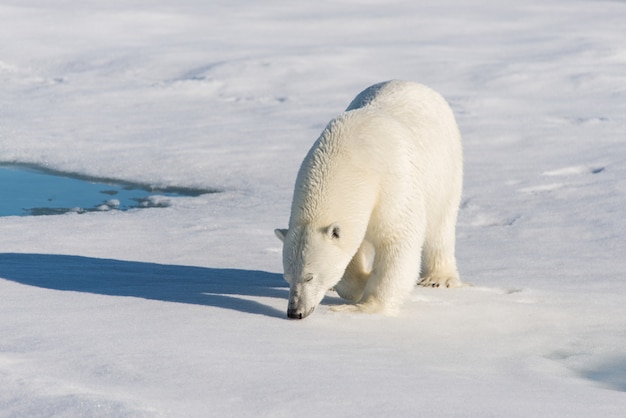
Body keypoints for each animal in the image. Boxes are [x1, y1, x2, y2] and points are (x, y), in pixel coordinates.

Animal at [276, 80, 460, 318]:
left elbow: (397, 240)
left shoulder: (393, 185)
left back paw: (437, 278)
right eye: (287, 276)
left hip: (445, 169)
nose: (295, 311)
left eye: (309, 276)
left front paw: (364, 305)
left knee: (440, 224)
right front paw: (360, 281)